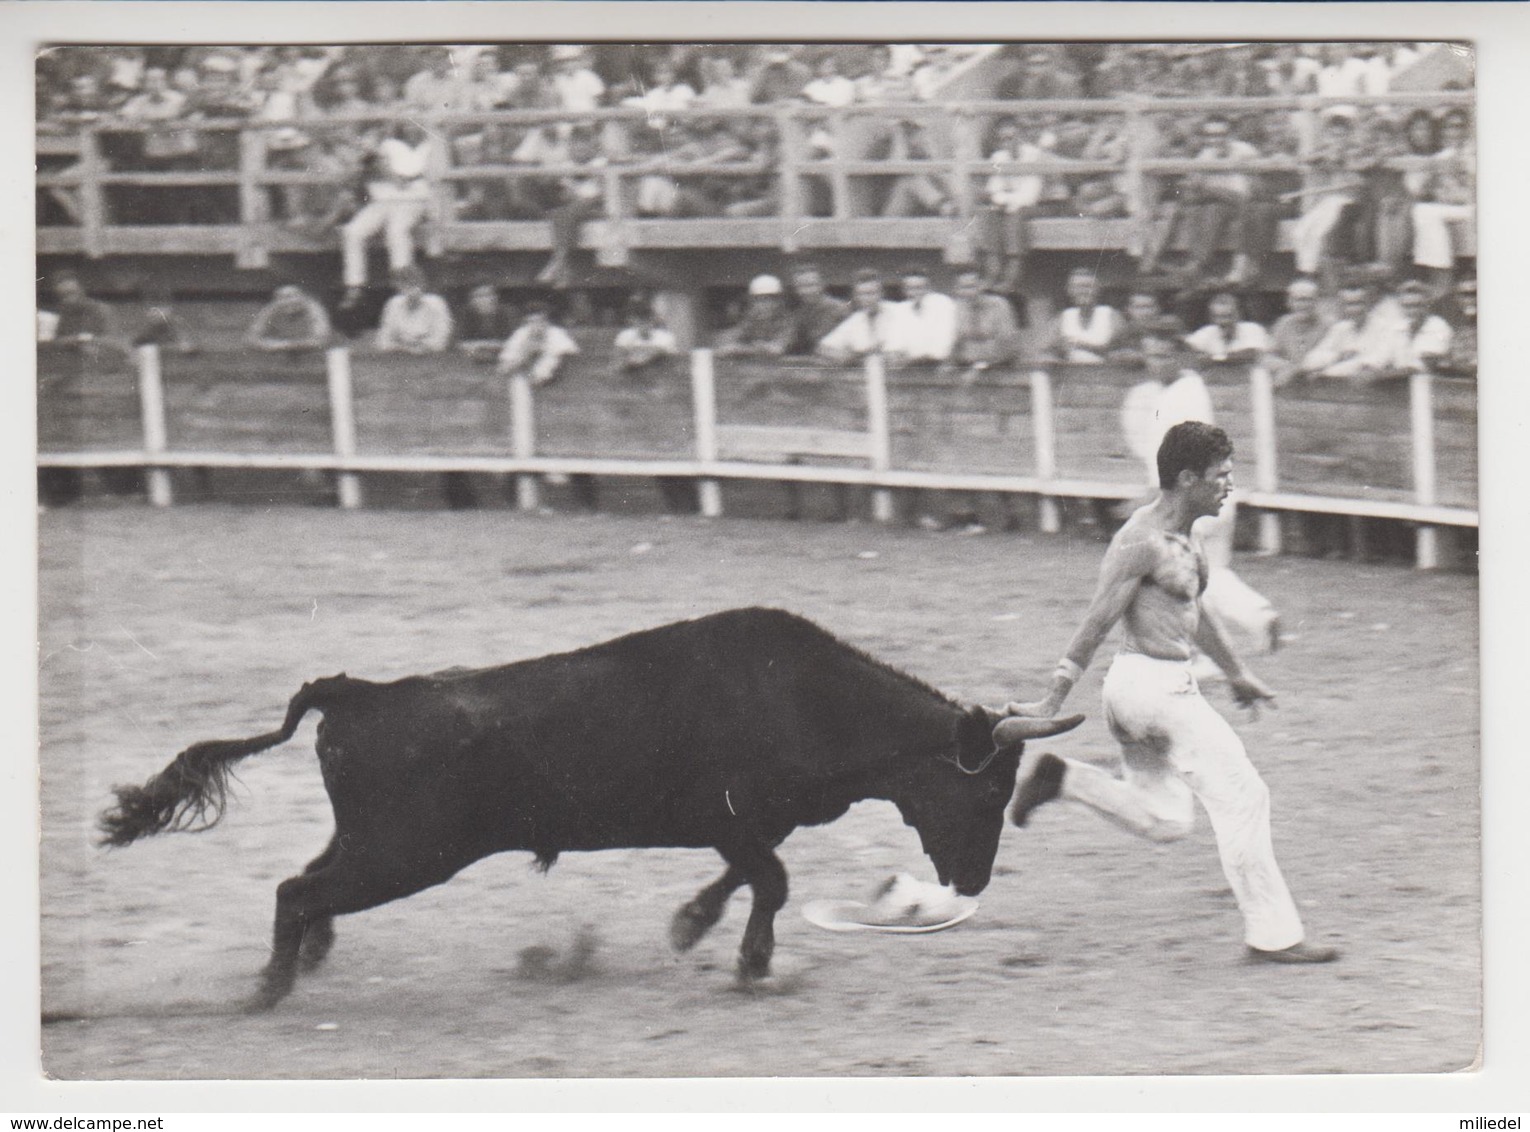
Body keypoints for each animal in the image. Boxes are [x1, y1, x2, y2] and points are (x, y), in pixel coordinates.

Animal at [101, 608, 1083, 1009]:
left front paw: (691, 928)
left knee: (306, 884)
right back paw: (268, 990)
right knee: (295, 891)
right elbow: (768, 882)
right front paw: (749, 966)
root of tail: (358, 693)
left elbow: (744, 878)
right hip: (406, 854)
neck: (806, 696)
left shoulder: (748, 826)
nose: (973, 881)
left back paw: (304, 963)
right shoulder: (736, 820)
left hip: (375, 843)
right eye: (986, 786)